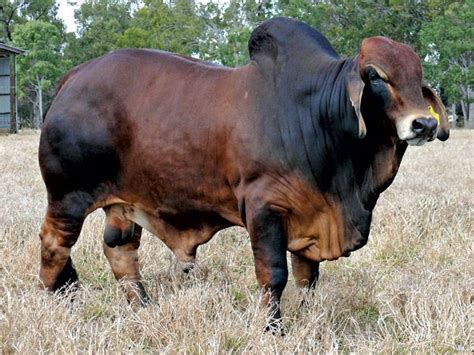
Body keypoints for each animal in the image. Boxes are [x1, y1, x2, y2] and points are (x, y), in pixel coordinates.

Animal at [38, 18, 448, 330]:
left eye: (418, 77)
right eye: (376, 76)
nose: (424, 124)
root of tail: (73, 77)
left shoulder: (311, 216)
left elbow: (308, 278)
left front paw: (309, 319)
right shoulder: (264, 209)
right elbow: (273, 275)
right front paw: (272, 329)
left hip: (124, 203)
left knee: (119, 249)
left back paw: (142, 305)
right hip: (67, 196)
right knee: (54, 244)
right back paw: (57, 301)